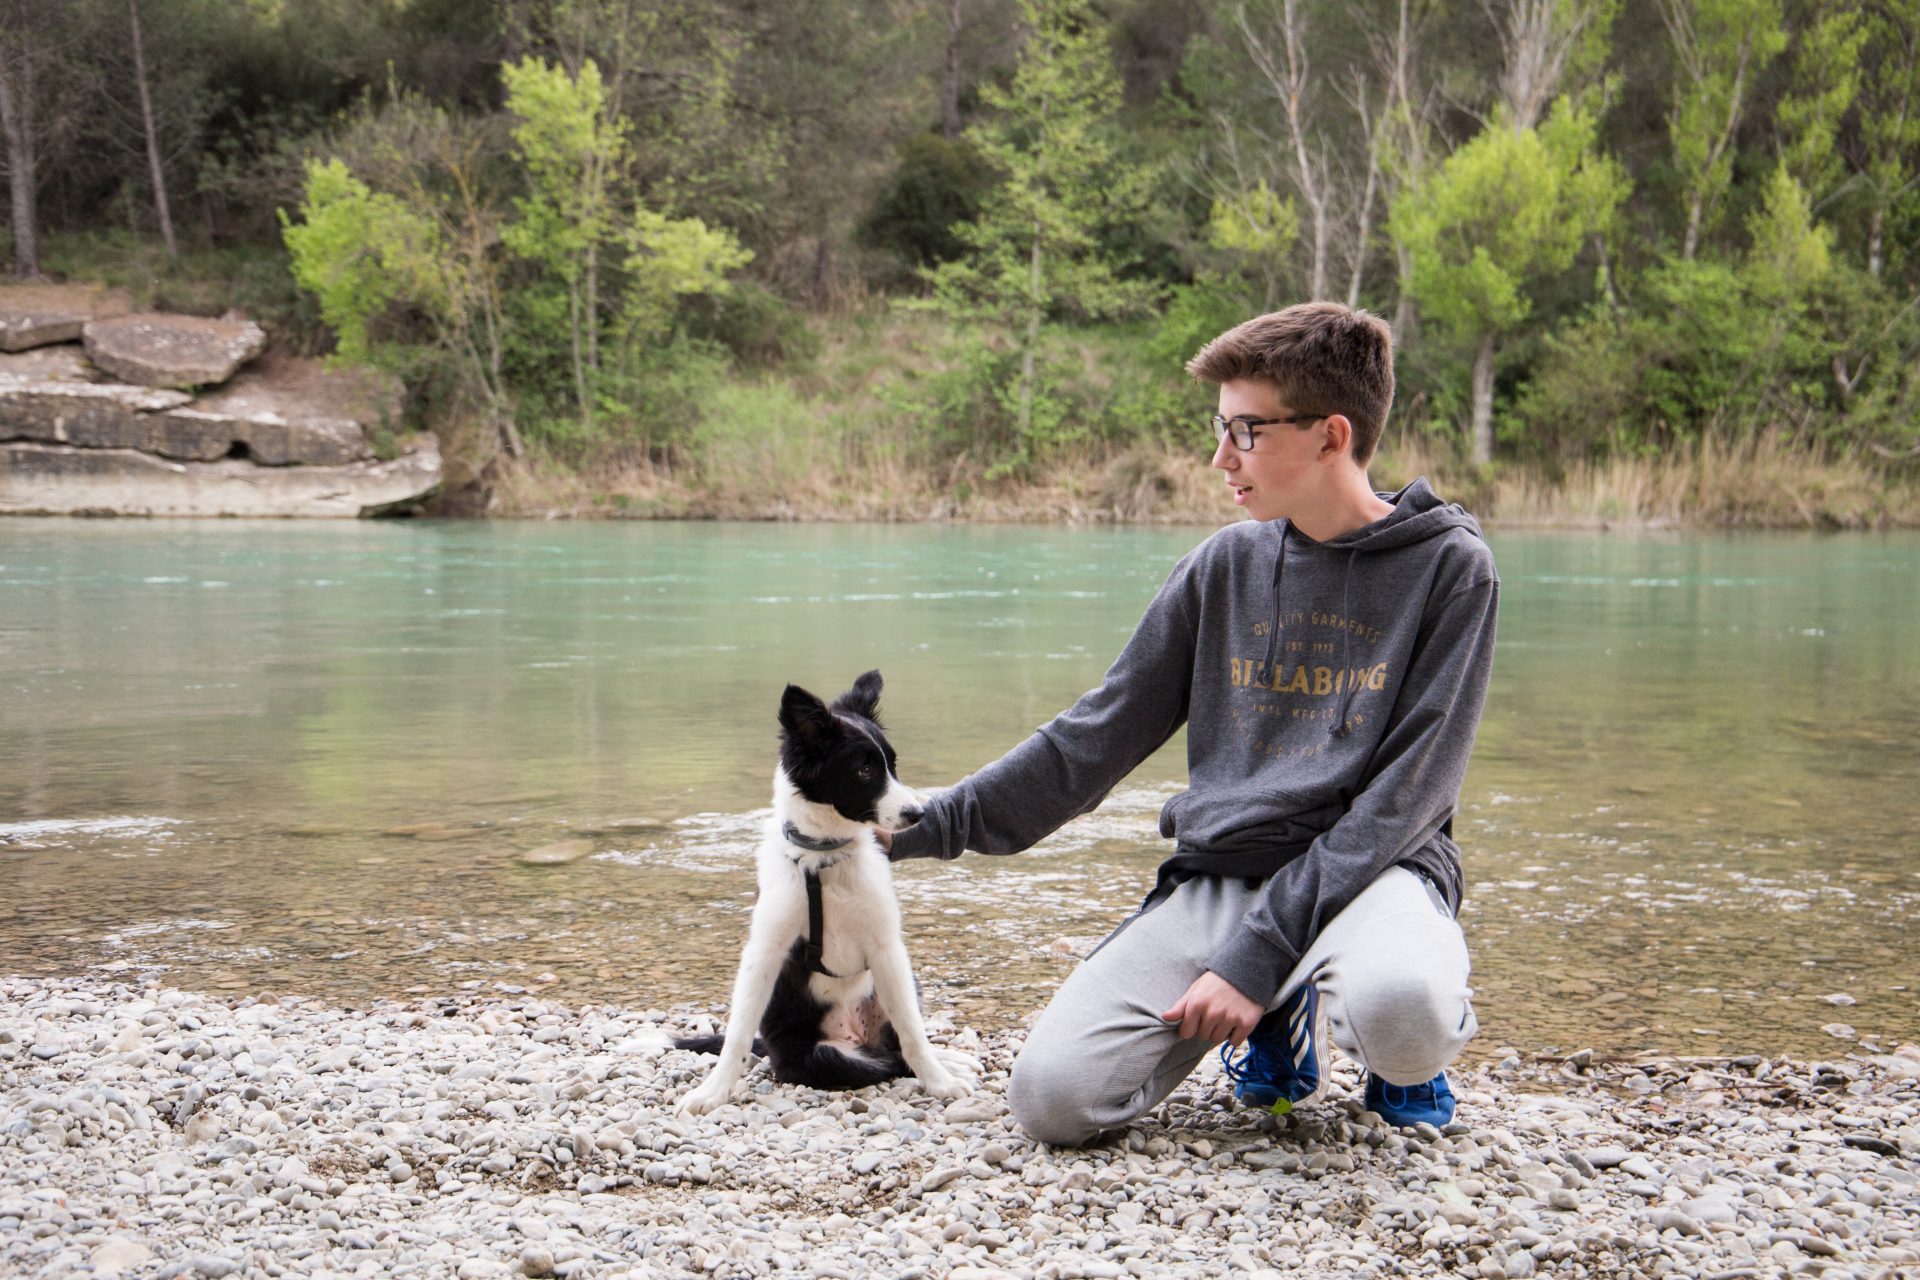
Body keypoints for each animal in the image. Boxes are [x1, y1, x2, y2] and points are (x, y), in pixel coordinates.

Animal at [675, 671, 975, 1113]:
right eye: (865, 771)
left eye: (893, 766)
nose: (918, 814)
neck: (824, 861)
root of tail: (856, 1035)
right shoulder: (766, 950)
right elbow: (738, 1033)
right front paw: (712, 1091)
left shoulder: (887, 948)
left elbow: (913, 1032)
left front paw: (940, 1080)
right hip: (824, 1056)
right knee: (880, 1061)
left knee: (896, 1048)